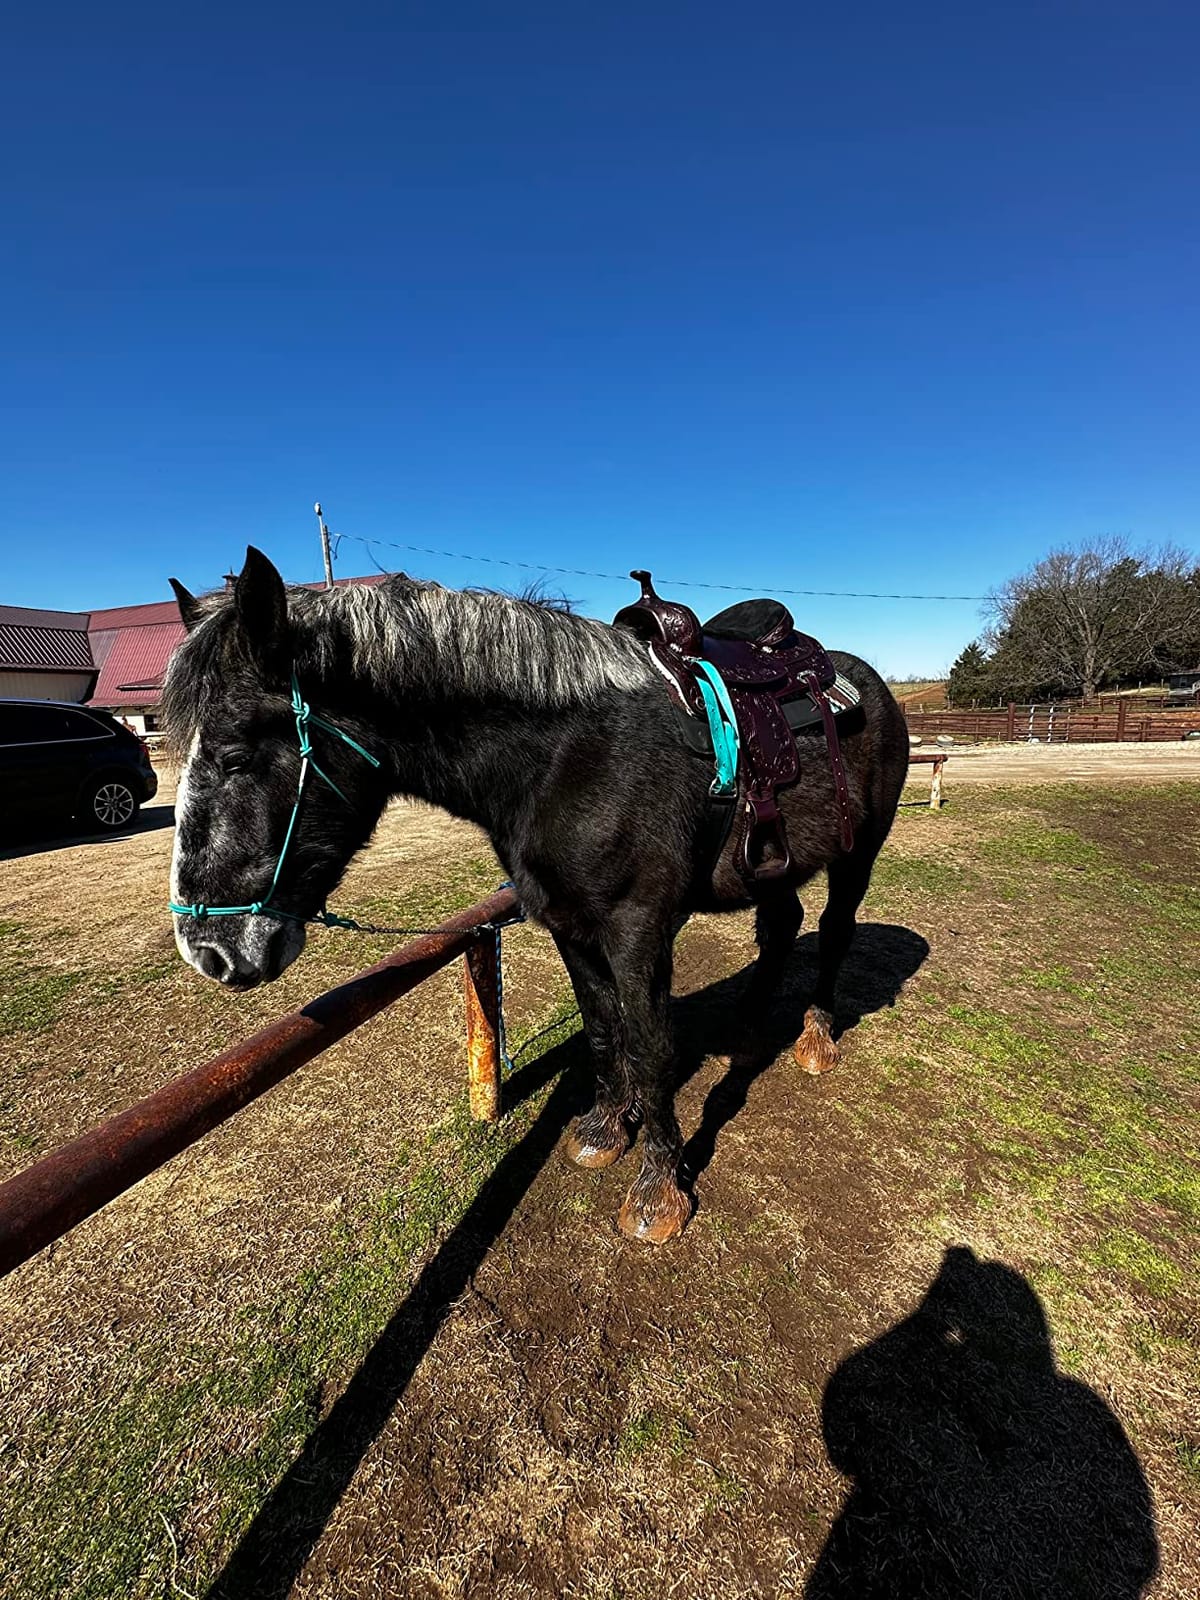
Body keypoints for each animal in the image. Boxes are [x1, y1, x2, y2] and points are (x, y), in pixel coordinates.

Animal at [164, 548, 910, 1243]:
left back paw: (816, 1039)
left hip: (858, 856)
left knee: (835, 931)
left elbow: (651, 1045)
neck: (568, 758)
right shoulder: (569, 924)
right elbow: (605, 1028)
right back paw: (752, 1037)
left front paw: (657, 1192)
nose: (209, 951)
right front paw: (606, 1130)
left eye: (235, 756)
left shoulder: (637, 928)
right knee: (782, 928)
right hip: (774, 867)